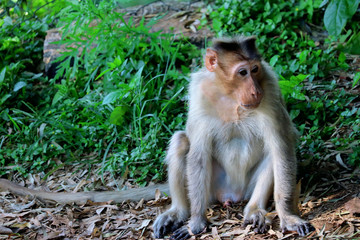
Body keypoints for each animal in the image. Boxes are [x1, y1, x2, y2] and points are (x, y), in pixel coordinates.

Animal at [153, 35, 316, 238]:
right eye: (242, 72)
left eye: (255, 69)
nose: (256, 91)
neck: (231, 97)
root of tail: (232, 195)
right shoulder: (199, 93)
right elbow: (198, 156)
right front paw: (196, 222)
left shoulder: (270, 89)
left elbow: (282, 150)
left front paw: (287, 216)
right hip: (213, 187)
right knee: (180, 141)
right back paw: (178, 212)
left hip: (247, 187)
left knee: (273, 153)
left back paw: (254, 211)